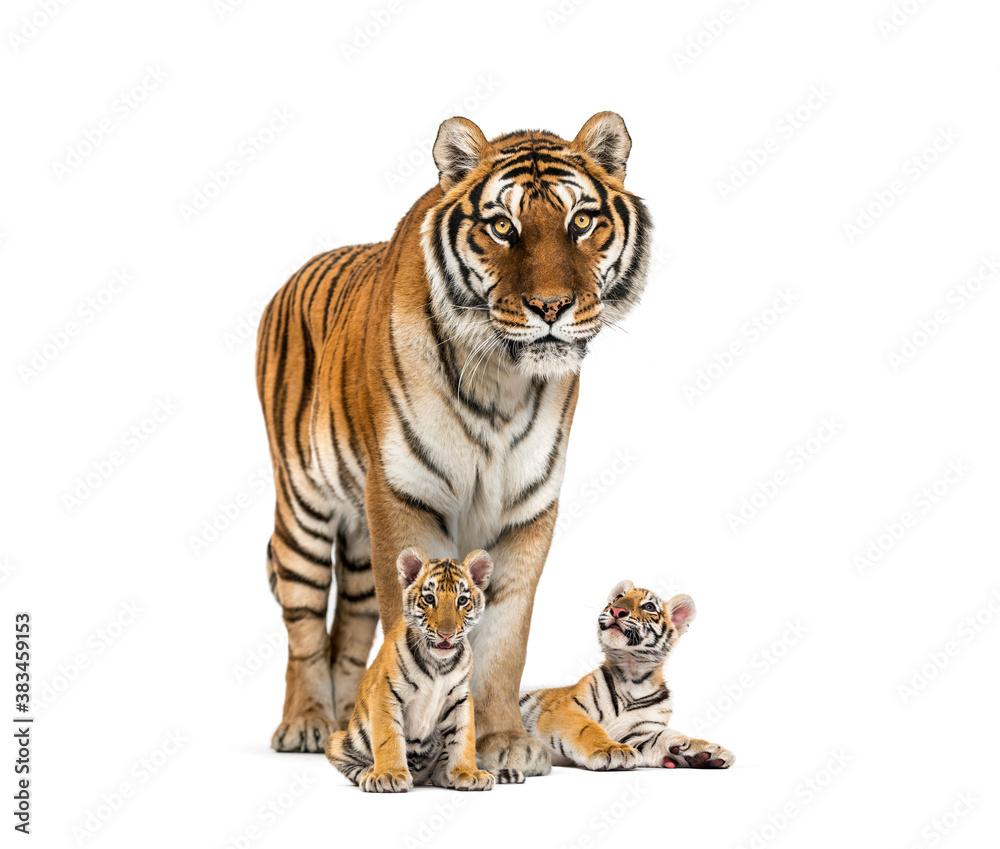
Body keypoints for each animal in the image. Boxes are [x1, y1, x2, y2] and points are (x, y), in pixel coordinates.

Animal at [325, 548, 505, 792]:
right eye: (429, 598)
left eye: (462, 600)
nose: (446, 634)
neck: (439, 664)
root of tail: (421, 778)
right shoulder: (386, 693)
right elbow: (389, 737)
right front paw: (389, 775)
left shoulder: (460, 698)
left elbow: (463, 737)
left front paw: (468, 773)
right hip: (336, 740)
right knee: (357, 767)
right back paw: (371, 773)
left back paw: (446, 775)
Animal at [519, 580, 735, 771]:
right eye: (618, 598)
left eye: (648, 606)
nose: (616, 610)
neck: (634, 676)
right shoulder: (565, 710)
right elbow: (588, 728)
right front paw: (611, 750)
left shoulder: (639, 734)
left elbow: (666, 737)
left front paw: (707, 752)